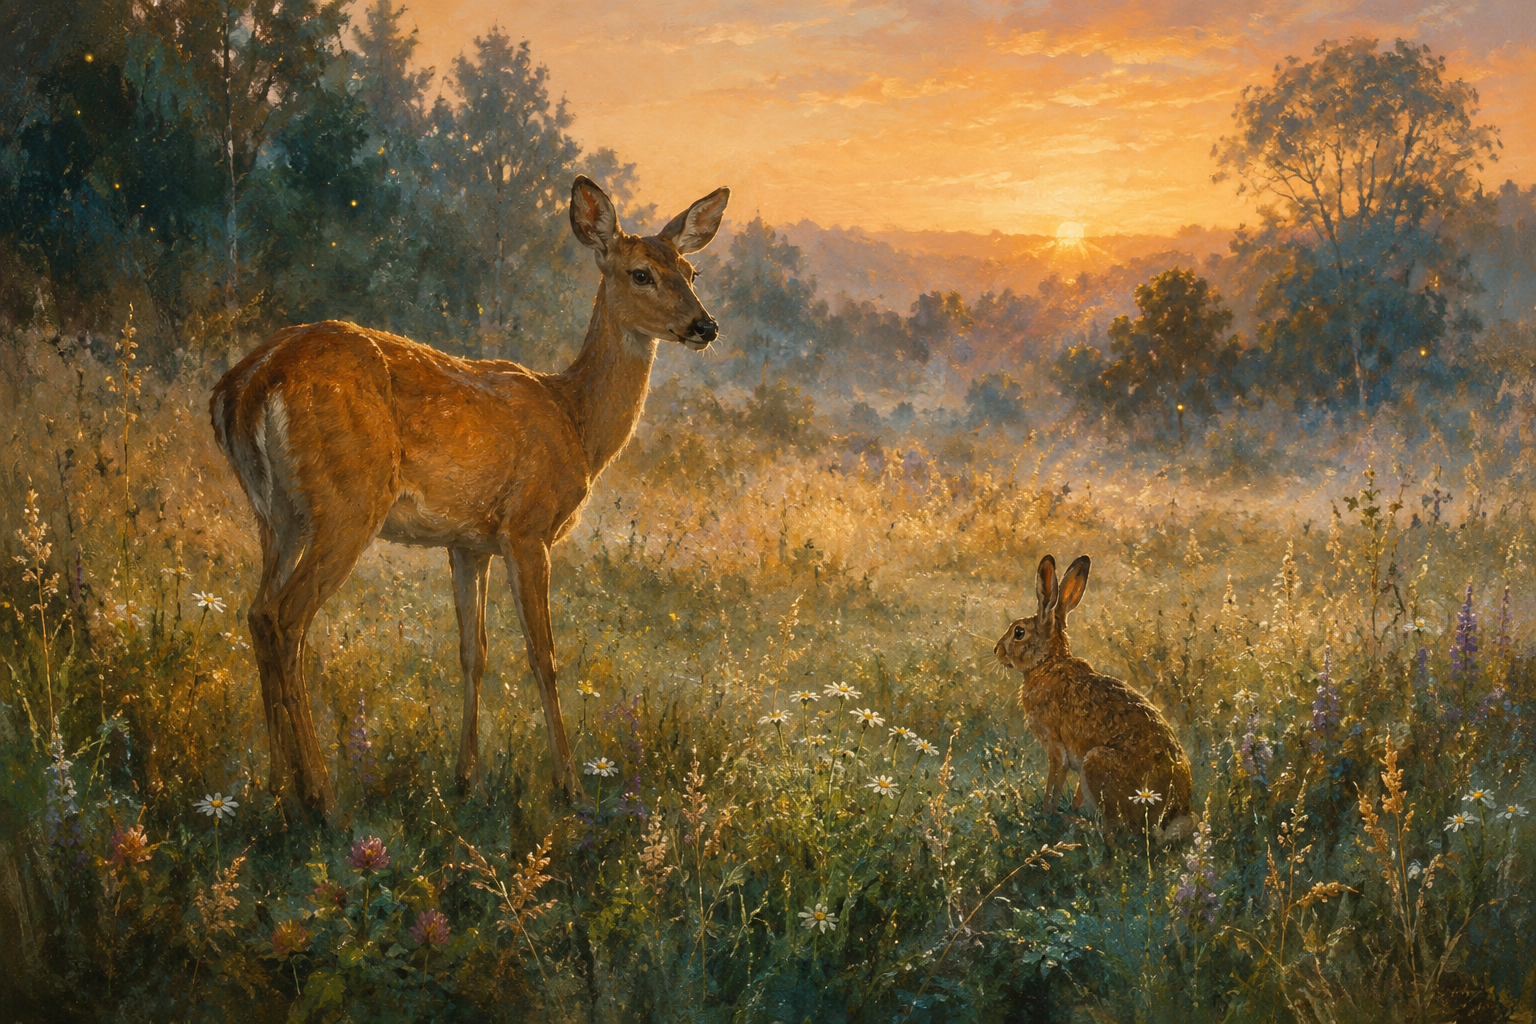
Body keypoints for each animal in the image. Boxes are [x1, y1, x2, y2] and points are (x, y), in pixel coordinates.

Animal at [210, 176, 730, 818]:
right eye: (641, 273)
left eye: (691, 270)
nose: (705, 326)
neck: (576, 422)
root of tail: (246, 382)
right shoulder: (527, 528)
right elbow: (543, 656)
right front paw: (571, 787)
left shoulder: (469, 543)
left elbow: (472, 653)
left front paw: (468, 780)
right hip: (347, 501)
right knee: (287, 618)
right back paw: (322, 798)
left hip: (274, 514)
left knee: (257, 612)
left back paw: (277, 788)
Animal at [995, 554, 1196, 847]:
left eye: (1019, 633)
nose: (996, 650)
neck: (1048, 663)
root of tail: (1172, 813)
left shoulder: (1056, 748)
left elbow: (1054, 782)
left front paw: (1046, 814)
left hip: (1096, 764)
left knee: (1115, 833)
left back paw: (1077, 825)